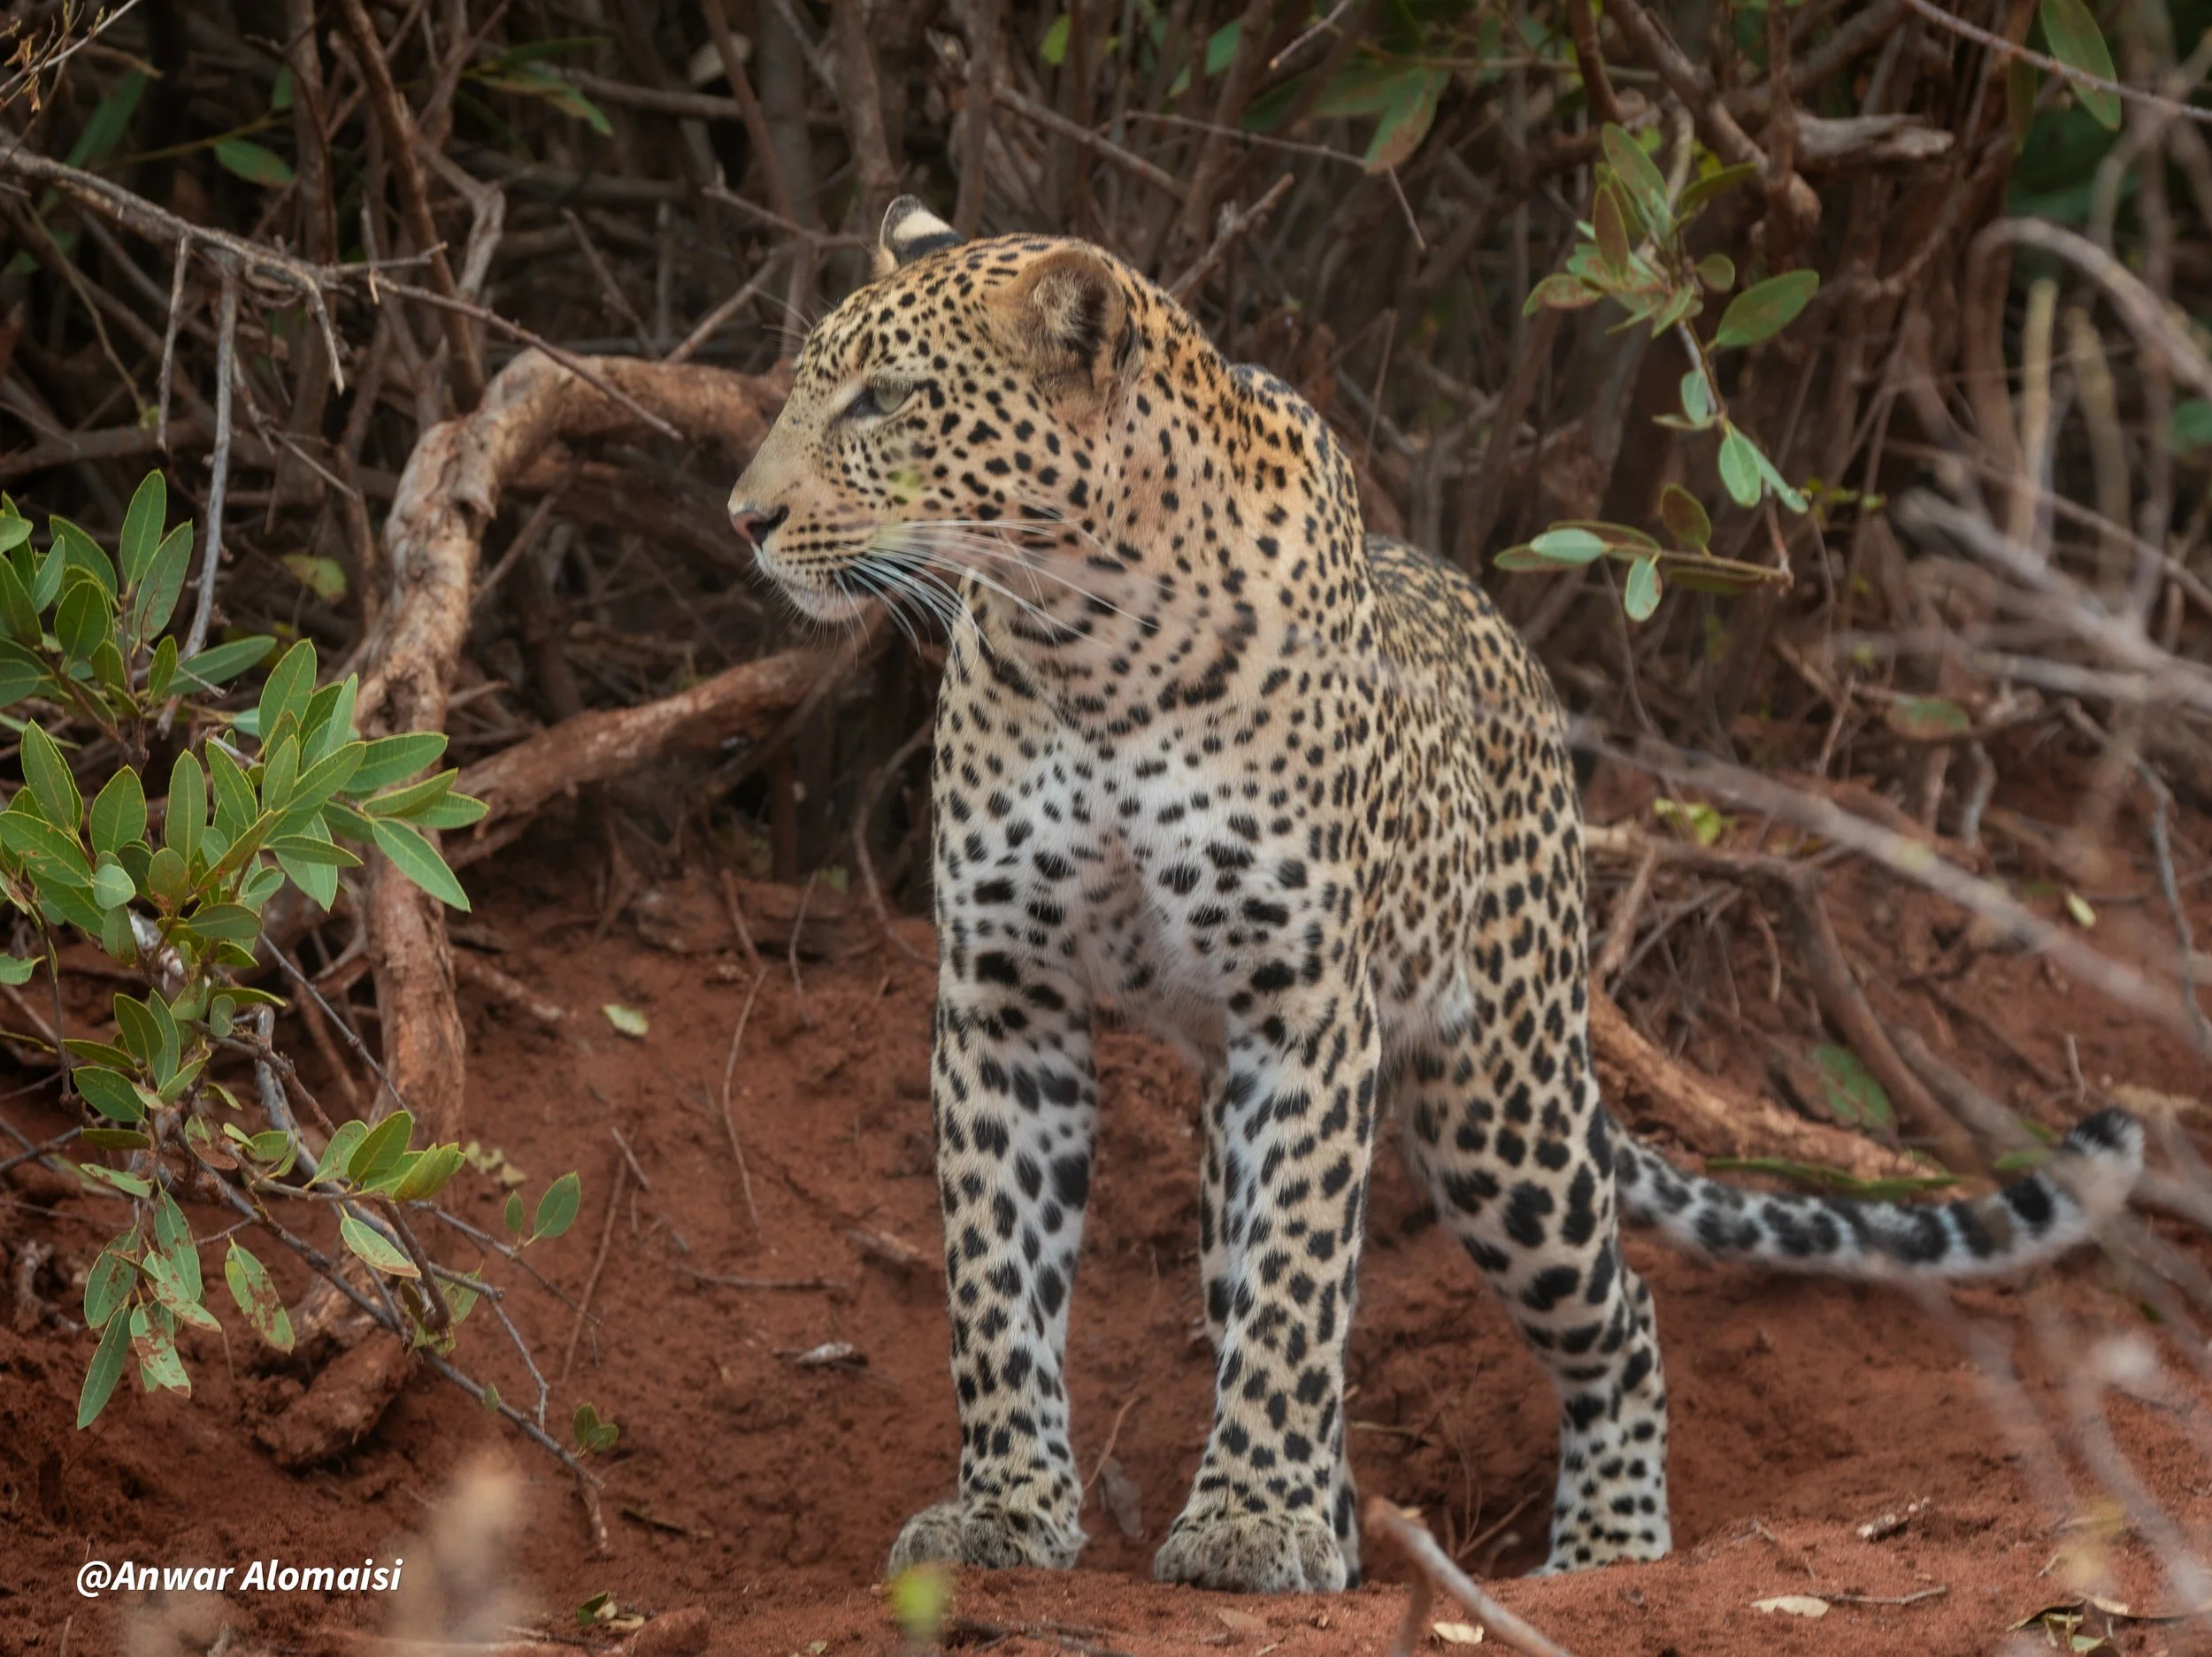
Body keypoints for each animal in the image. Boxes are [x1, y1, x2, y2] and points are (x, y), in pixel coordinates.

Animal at [724, 195, 2144, 1595]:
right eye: (804, 388)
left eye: (885, 400)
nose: (743, 517)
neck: (1084, 644)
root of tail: (1496, 627)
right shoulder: (1004, 995)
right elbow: (995, 1279)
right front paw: (1005, 1511)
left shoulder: (1305, 1005)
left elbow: (1297, 1286)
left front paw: (1250, 1523)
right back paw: (1352, 1529)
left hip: (1502, 1108)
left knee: (1617, 1316)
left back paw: (1603, 1549)